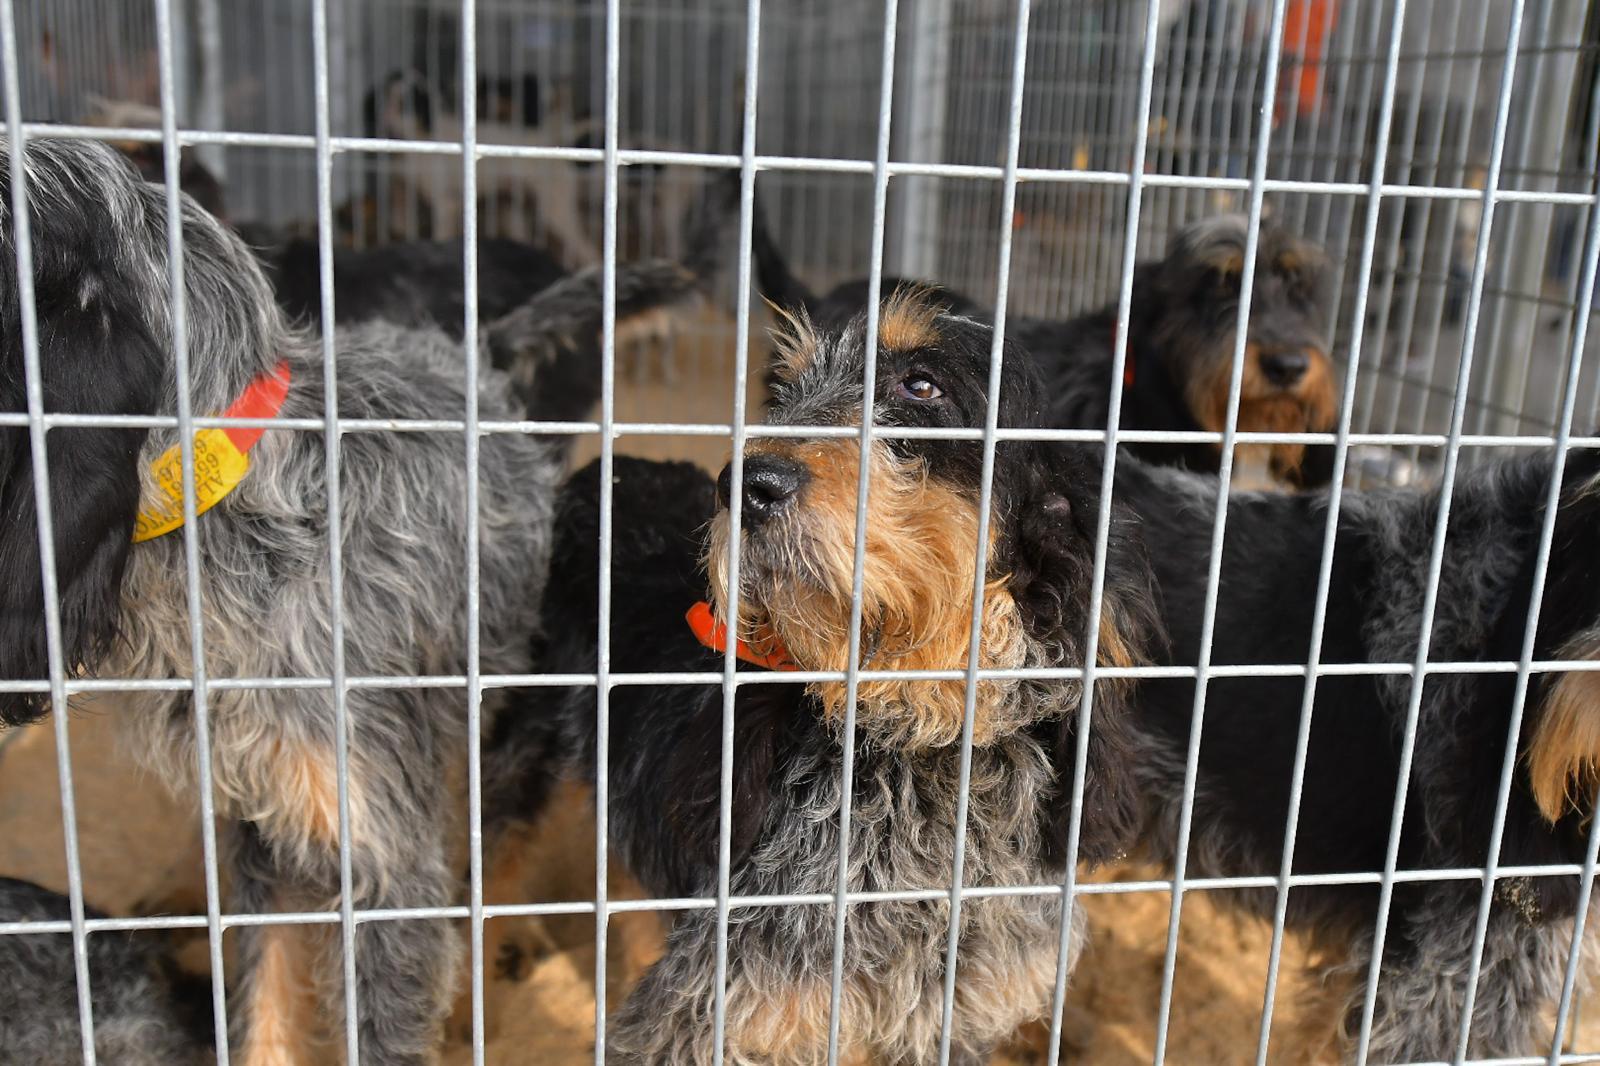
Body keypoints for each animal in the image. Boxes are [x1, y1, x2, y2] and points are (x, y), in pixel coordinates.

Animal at [0, 136, 697, 1056]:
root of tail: (476, 361)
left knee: (502, 841)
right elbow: (262, 1008)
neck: (249, 509)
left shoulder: (380, 861)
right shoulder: (267, 824)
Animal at [480, 286, 1158, 1056]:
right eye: (781, 391)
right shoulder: (709, 1013)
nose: (744, 484)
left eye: (922, 386)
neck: (917, 757)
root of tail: (604, 470)